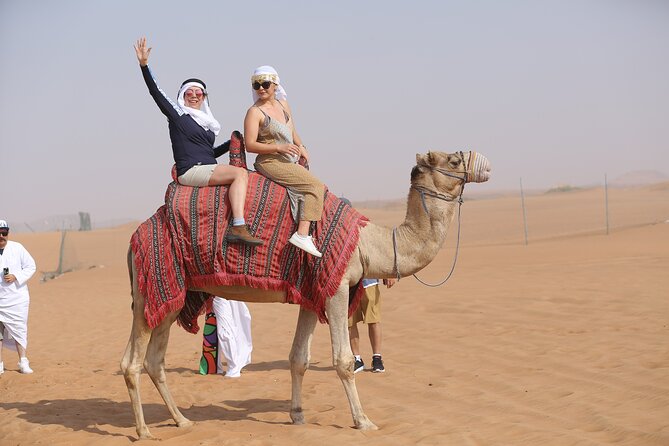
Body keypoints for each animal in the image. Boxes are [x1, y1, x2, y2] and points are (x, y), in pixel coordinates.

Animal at [120, 150, 491, 439]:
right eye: (454, 159)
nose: (486, 165)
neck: (368, 243)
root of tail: (135, 237)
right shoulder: (336, 287)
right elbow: (343, 361)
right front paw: (363, 421)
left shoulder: (312, 294)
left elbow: (299, 358)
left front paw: (297, 415)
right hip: (153, 283)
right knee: (131, 362)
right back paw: (144, 430)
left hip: (173, 296)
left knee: (154, 360)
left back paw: (182, 421)